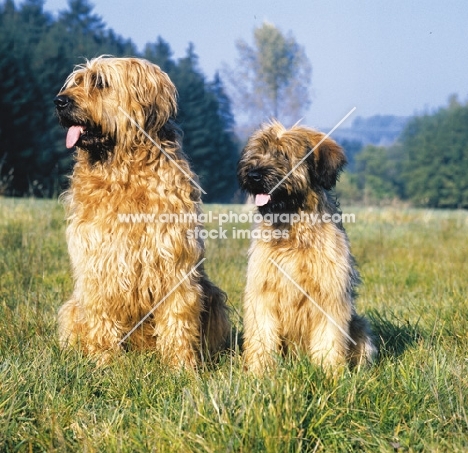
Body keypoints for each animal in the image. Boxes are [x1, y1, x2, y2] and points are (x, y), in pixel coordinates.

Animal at [54, 56, 229, 368]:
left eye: (100, 83)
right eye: (76, 81)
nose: (59, 101)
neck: (124, 169)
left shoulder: (174, 261)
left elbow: (177, 316)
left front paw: (181, 366)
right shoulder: (98, 261)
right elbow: (101, 313)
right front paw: (104, 361)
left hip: (214, 298)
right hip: (73, 307)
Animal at [238, 120, 376, 374]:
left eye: (283, 154)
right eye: (258, 151)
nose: (252, 175)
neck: (294, 228)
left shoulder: (329, 294)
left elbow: (328, 337)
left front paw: (329, 372)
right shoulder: (262, 290)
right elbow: (262, 333)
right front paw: (260, 371)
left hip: (359, 326)